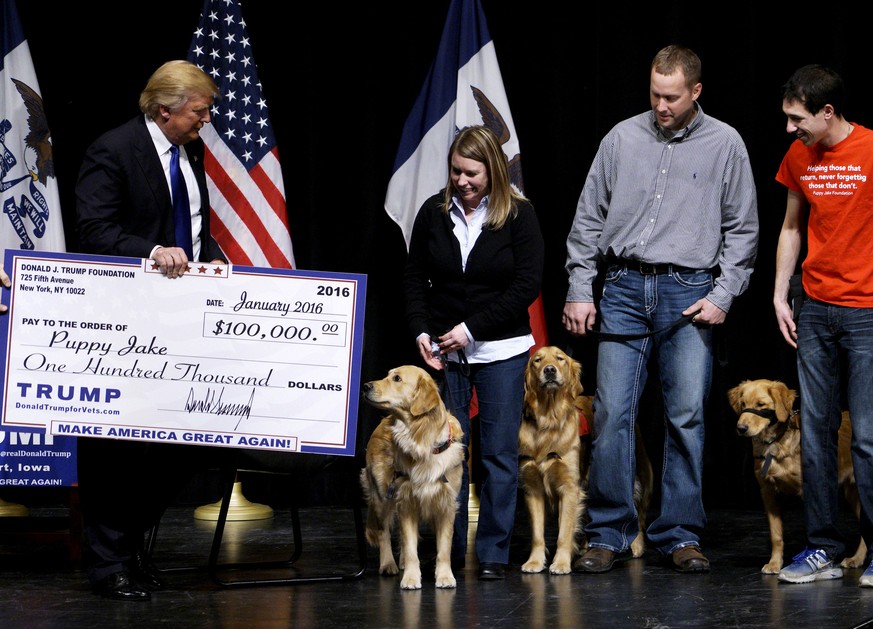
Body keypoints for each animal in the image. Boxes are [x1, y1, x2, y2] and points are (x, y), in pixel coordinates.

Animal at [358, 366, 464, 588]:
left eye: (397, 378)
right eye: (387, 375)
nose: (365, 386)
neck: (420, 437)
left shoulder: (446, 504)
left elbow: (443, 549)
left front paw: (444, 576)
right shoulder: (406, 501)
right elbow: (409, 545)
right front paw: (411, 578)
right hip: (382, 496)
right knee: (383, 532)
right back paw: (388, 564)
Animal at [516, 348, 656, 576]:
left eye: (560, 358)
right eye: (537, 360)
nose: (549, 370)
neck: (548, 420)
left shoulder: (569, 488)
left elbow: (564, 532)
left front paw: (561, 563)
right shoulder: (532, 487)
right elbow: (537, 533)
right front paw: (535, 562)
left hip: (640, 476)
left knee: (639, 512)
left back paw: (635, 545)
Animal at [724, 378, 860, 576]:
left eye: (761, 405)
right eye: (743, 405)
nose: (741, 428)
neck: (775, 444)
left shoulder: (807, 491)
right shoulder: (768, 492)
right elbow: (776, 535)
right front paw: (774, 563)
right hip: (852, 494)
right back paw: (857, 559)